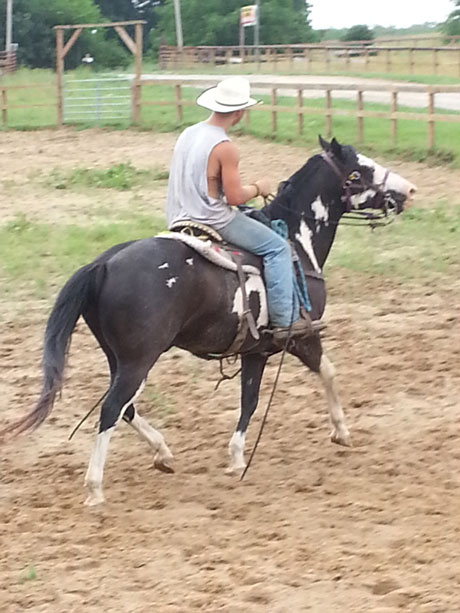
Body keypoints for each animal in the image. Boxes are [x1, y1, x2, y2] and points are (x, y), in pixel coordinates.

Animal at [0, 137, 416, 502]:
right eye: (361, 170)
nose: (409, 190)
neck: (297, 243)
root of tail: (103, 264)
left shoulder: (255, 350)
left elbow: (249, 400)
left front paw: (236, 456)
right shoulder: (301, 337)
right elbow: (327, 372)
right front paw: (341, 431)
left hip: (119, 359)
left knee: (124, 407)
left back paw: (163, 453)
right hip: (139, 361)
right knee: (111, 409)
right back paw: (95, 488)